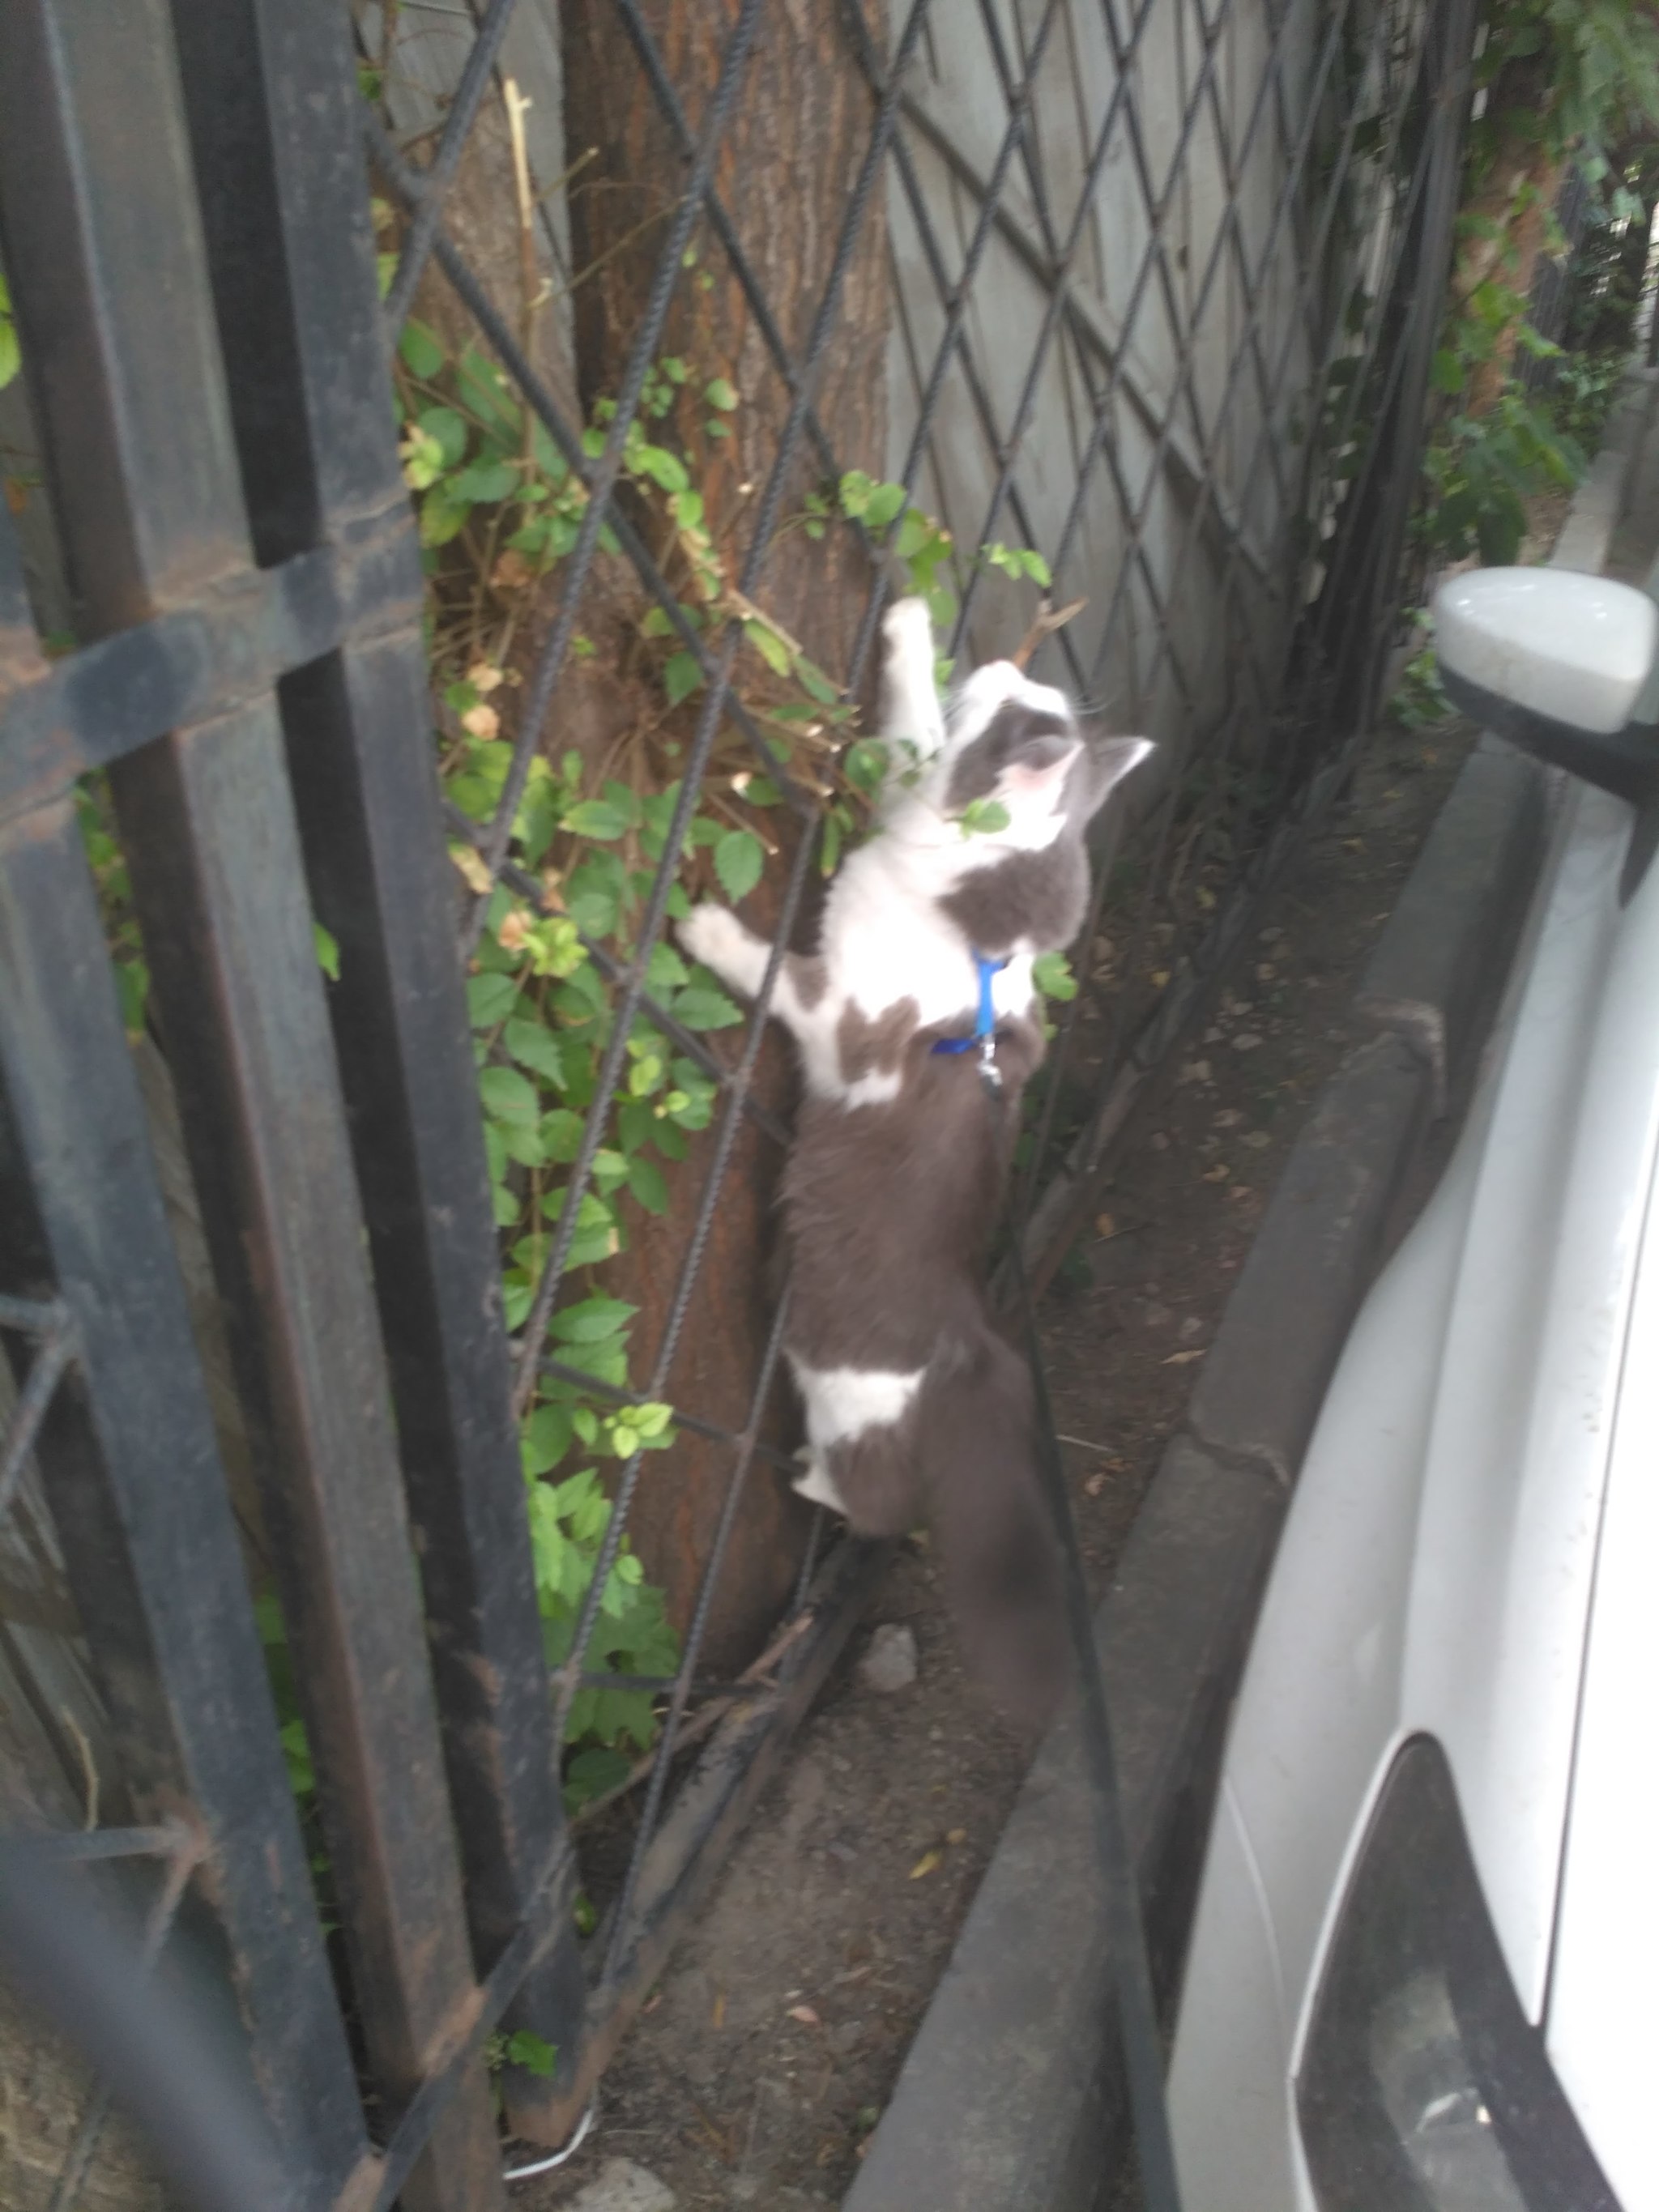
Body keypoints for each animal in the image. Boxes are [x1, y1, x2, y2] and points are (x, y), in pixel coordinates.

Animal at [681, 592, 1149, 1725]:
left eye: (1001, 710)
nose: (1000, 662)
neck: (982, 934)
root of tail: (970, 1344)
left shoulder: (840, 1020)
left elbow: (776, 966)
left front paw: (707, 929)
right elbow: (902, 734)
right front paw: (907, 623)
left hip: (844, 1400)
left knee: (877, 1501)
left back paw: (808, 1475)